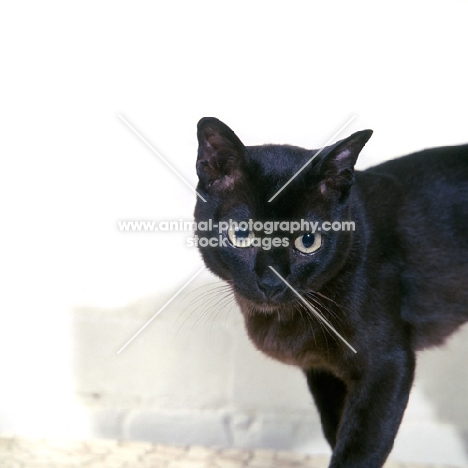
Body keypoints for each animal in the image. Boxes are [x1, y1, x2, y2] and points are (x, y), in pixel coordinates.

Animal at [192, 118, 466, 468]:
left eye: (308, 241)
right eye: (241, 235)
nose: (271, 283)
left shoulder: (388, 365)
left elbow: (360, 449)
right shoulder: (324, 373)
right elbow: (335, 432)